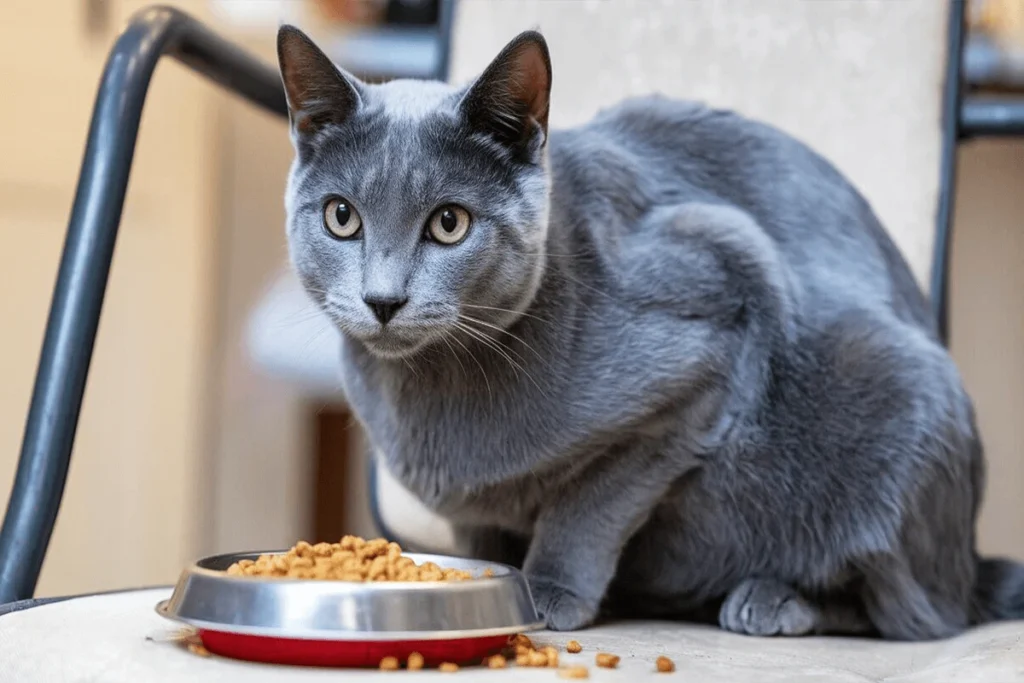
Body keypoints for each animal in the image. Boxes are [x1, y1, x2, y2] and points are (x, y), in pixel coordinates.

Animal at [276, 24, 1019, 638]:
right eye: (341, 217)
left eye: (449, 224)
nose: (382, 299)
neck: (427, 390)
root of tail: (972, 559)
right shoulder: (473, 512)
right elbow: (484, 537)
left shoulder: (715, 316)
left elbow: (590, 505)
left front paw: (546, 591)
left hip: (896, 384)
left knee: (914, 612)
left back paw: (772, 599)